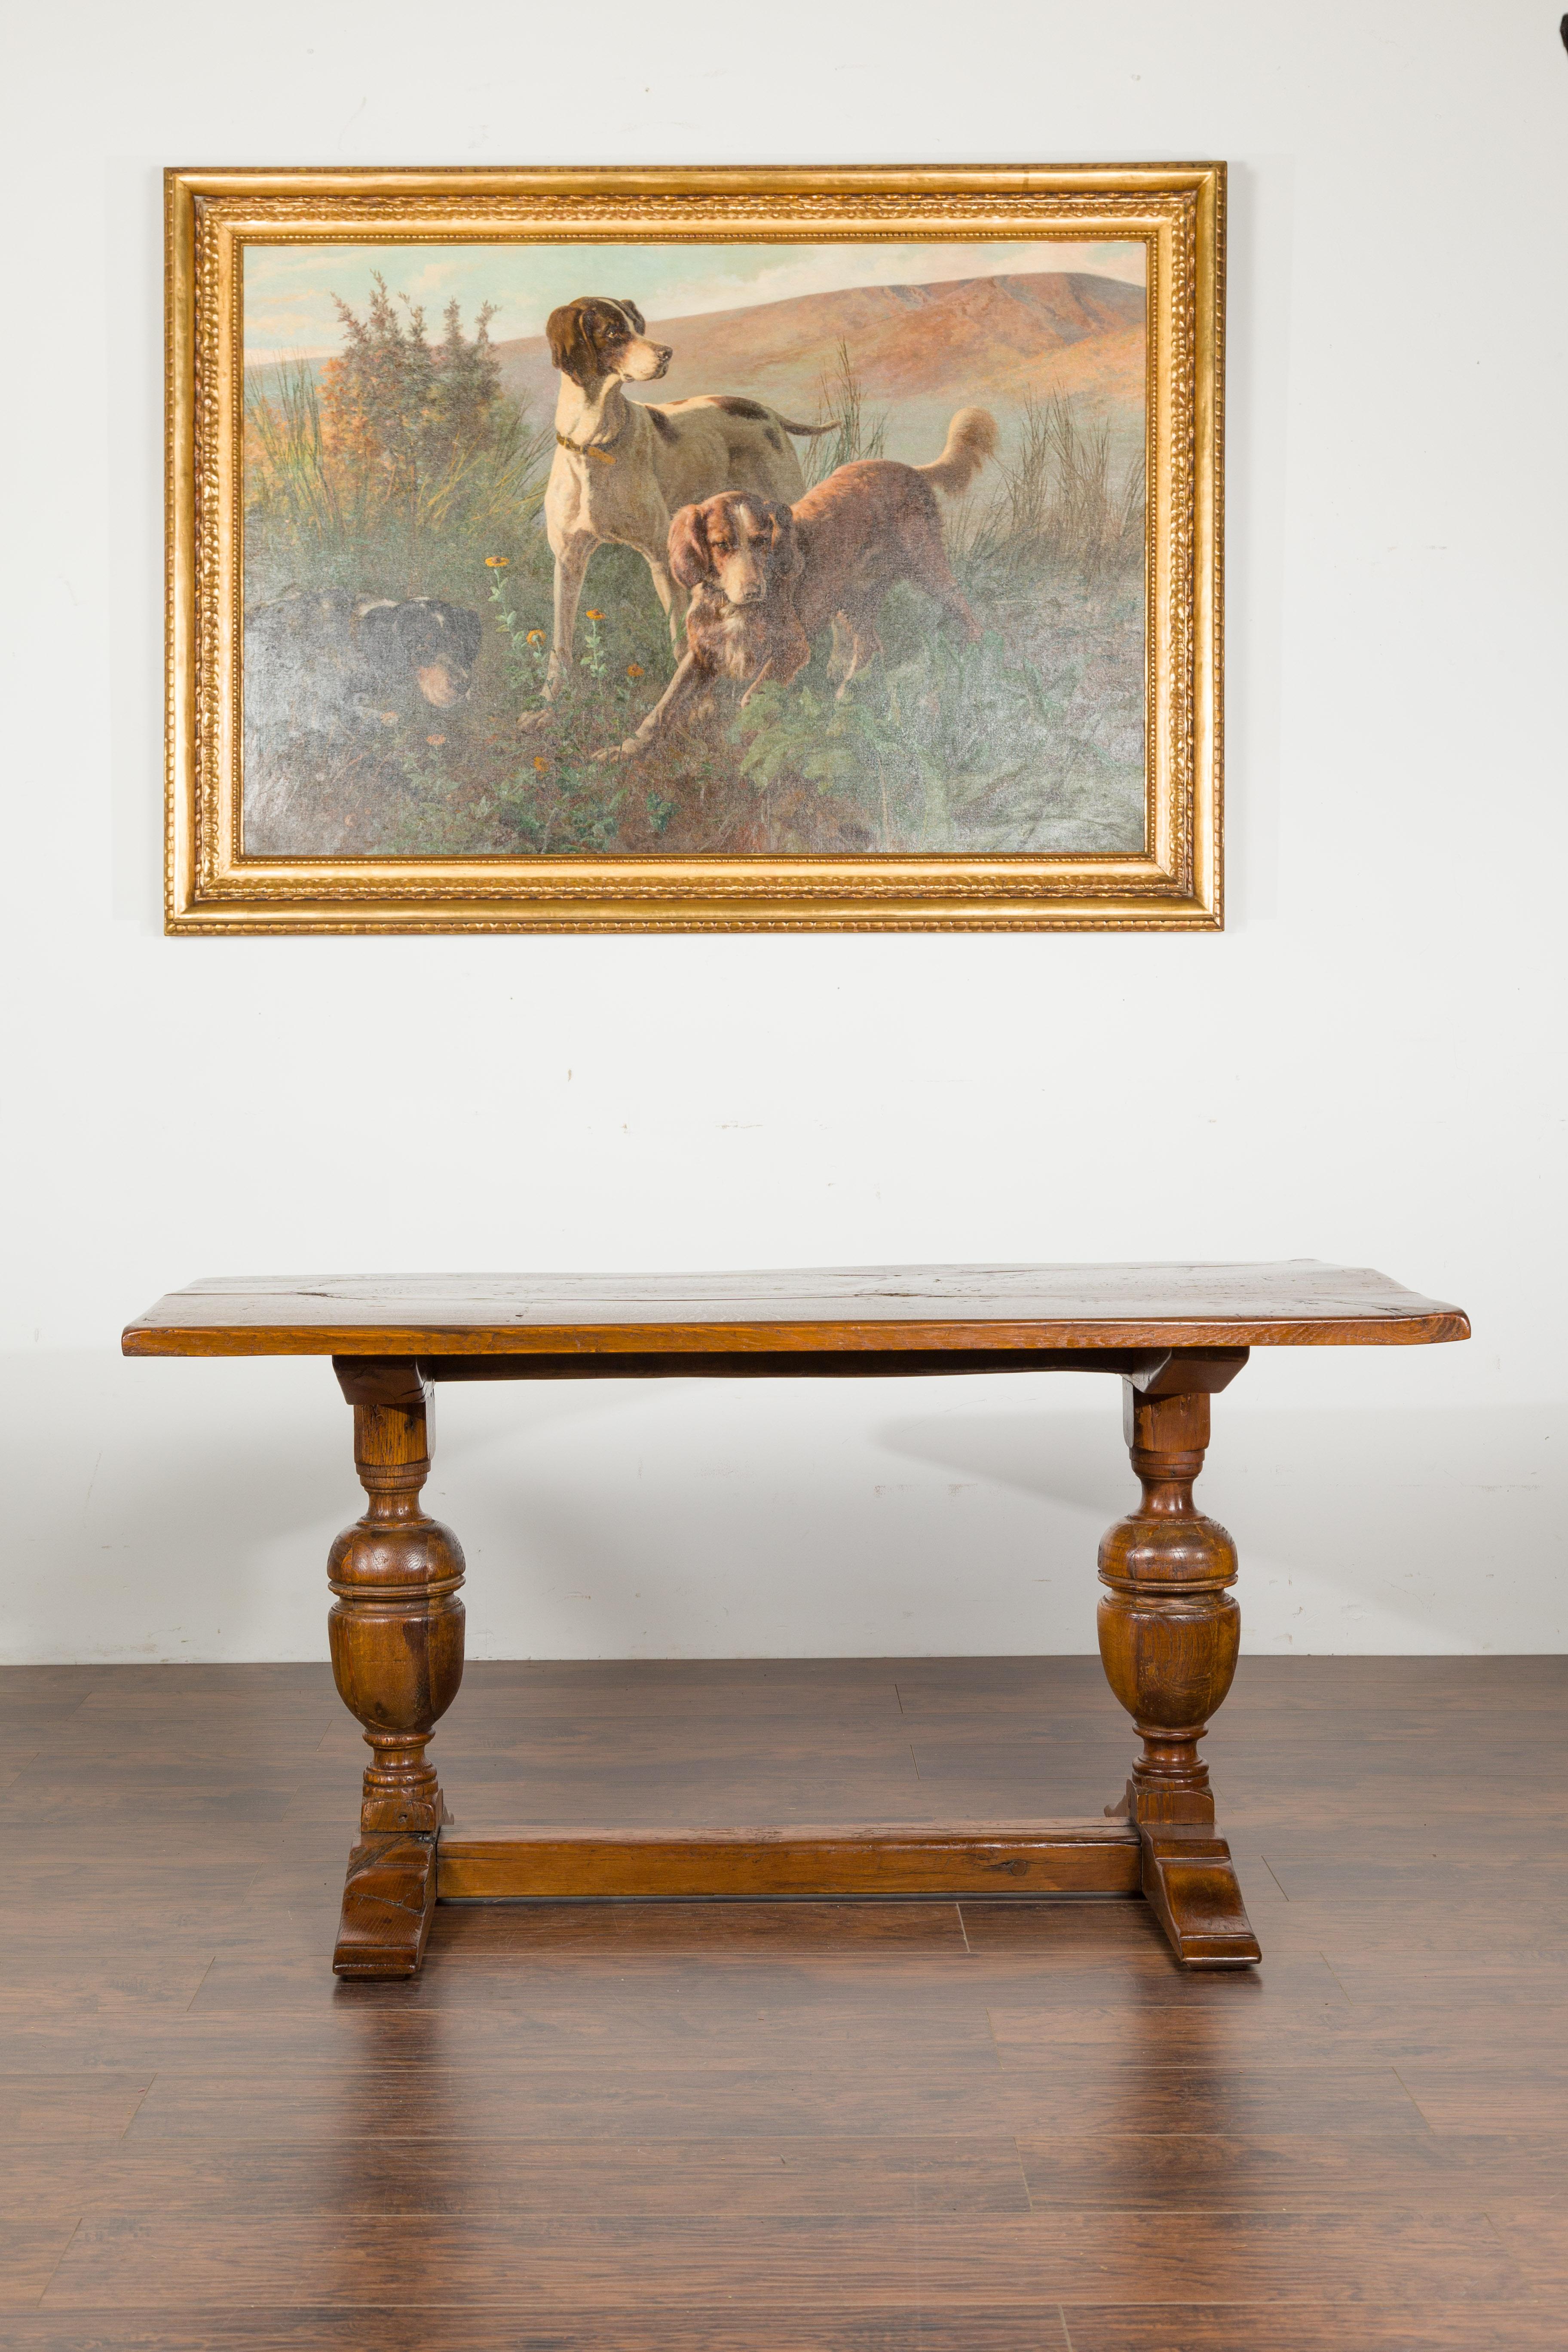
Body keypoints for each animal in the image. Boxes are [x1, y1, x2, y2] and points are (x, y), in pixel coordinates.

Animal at [531, 298, 832, 710]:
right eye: (614, 332)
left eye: (637, 325)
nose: (666, 353)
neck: (596, 442)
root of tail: (764, 410)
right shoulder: (568, 562)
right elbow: (560, 644)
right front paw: (547, 705)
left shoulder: (660, 560)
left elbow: (678, 641)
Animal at [594, 407, 1001, 762]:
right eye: (721, 544)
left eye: (762, 540)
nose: (754, 591)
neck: (733, 609)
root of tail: (911, 470)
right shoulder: (703, 656)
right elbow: (662, 710)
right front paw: (623, 752)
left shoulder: (791, 650)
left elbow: (751, 700)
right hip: (855, 600)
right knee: (870, 647)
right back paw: (845, 700)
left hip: (927, 569)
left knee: (967, 614)